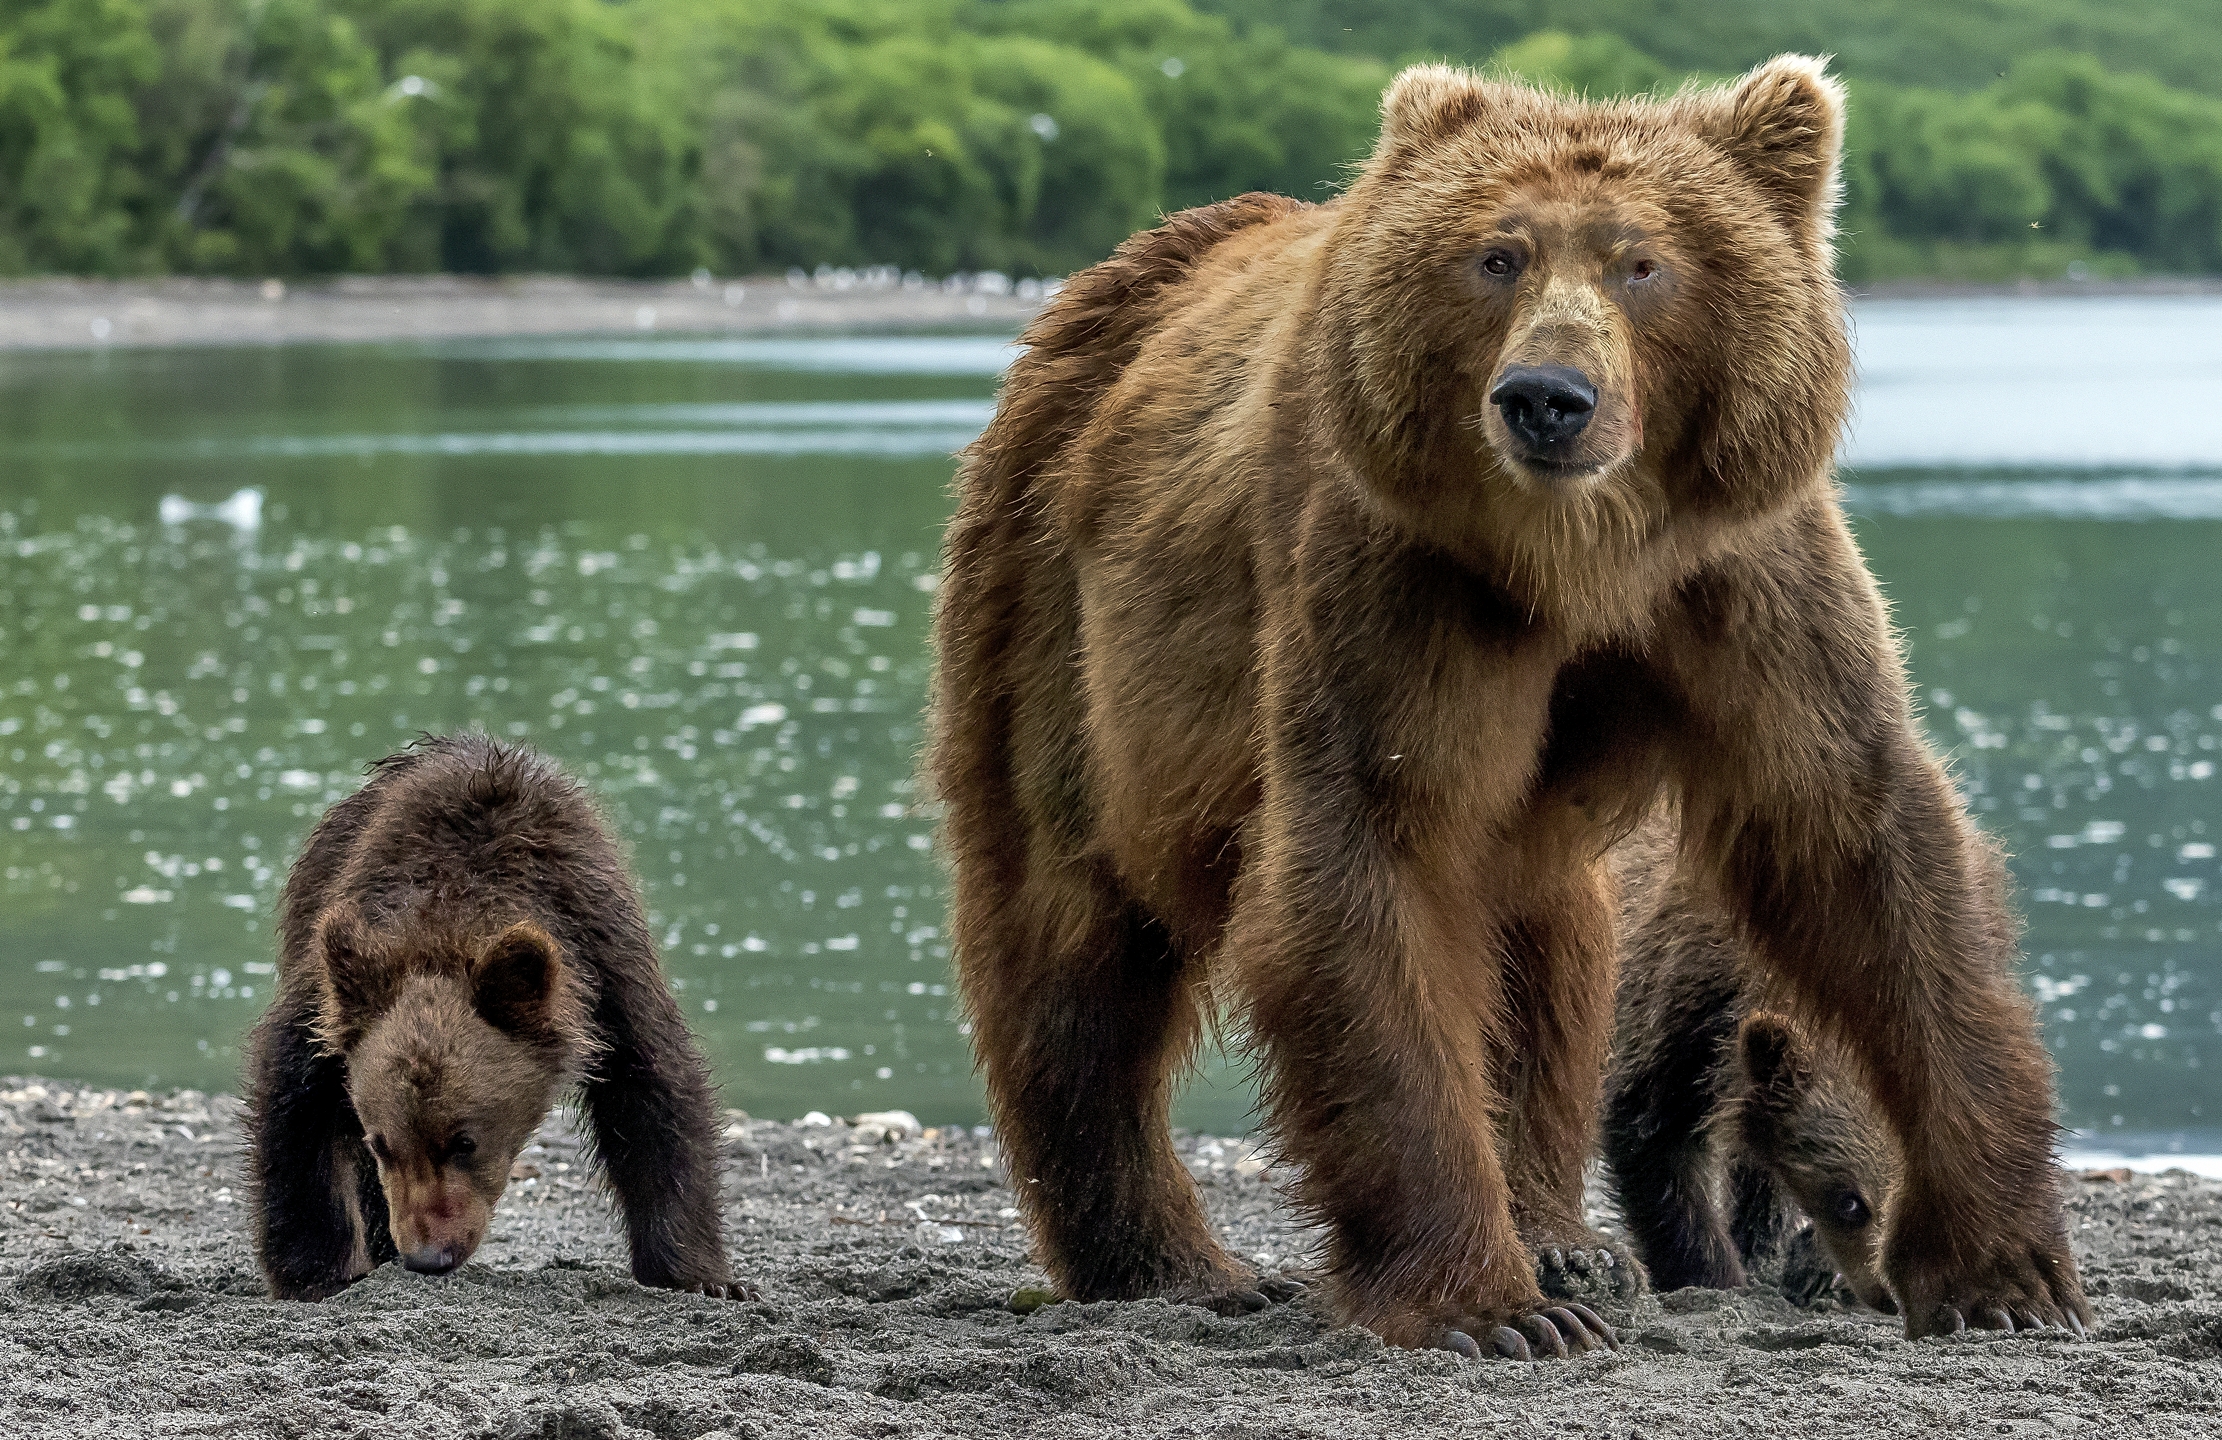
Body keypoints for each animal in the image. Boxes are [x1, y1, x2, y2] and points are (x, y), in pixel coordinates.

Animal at [245, 733, 738, 1301]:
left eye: (464, 1141)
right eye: (381, 1143)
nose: (428, 1255)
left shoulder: (603, 958)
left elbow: (655, 1092)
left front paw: (699, 1275)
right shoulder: (337, 985)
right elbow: (295, 1104)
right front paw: (317, 1273)